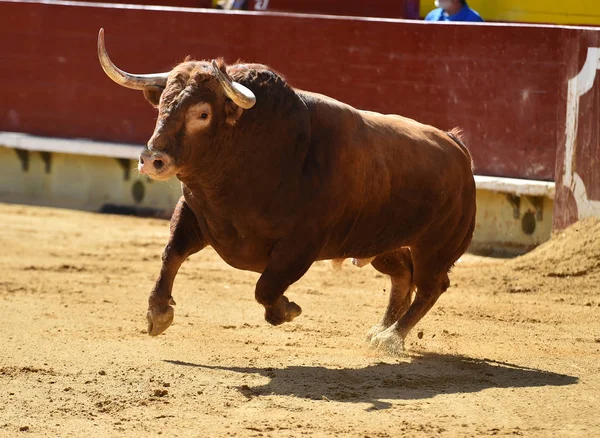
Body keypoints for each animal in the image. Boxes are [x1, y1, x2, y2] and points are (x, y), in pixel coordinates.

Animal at [98, 29, 476, 354]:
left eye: (202, 114)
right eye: (162, 103)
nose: (152, 160)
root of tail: (457, 147)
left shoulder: (301, 245)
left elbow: (266, 286)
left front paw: (286, 309)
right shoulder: (195, 213)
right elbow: (171, 254)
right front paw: (158, 313)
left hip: (435, 247)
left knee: (430, 286)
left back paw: (391, 337)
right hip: (381, 243)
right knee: (402, 277)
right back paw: (379, 331)